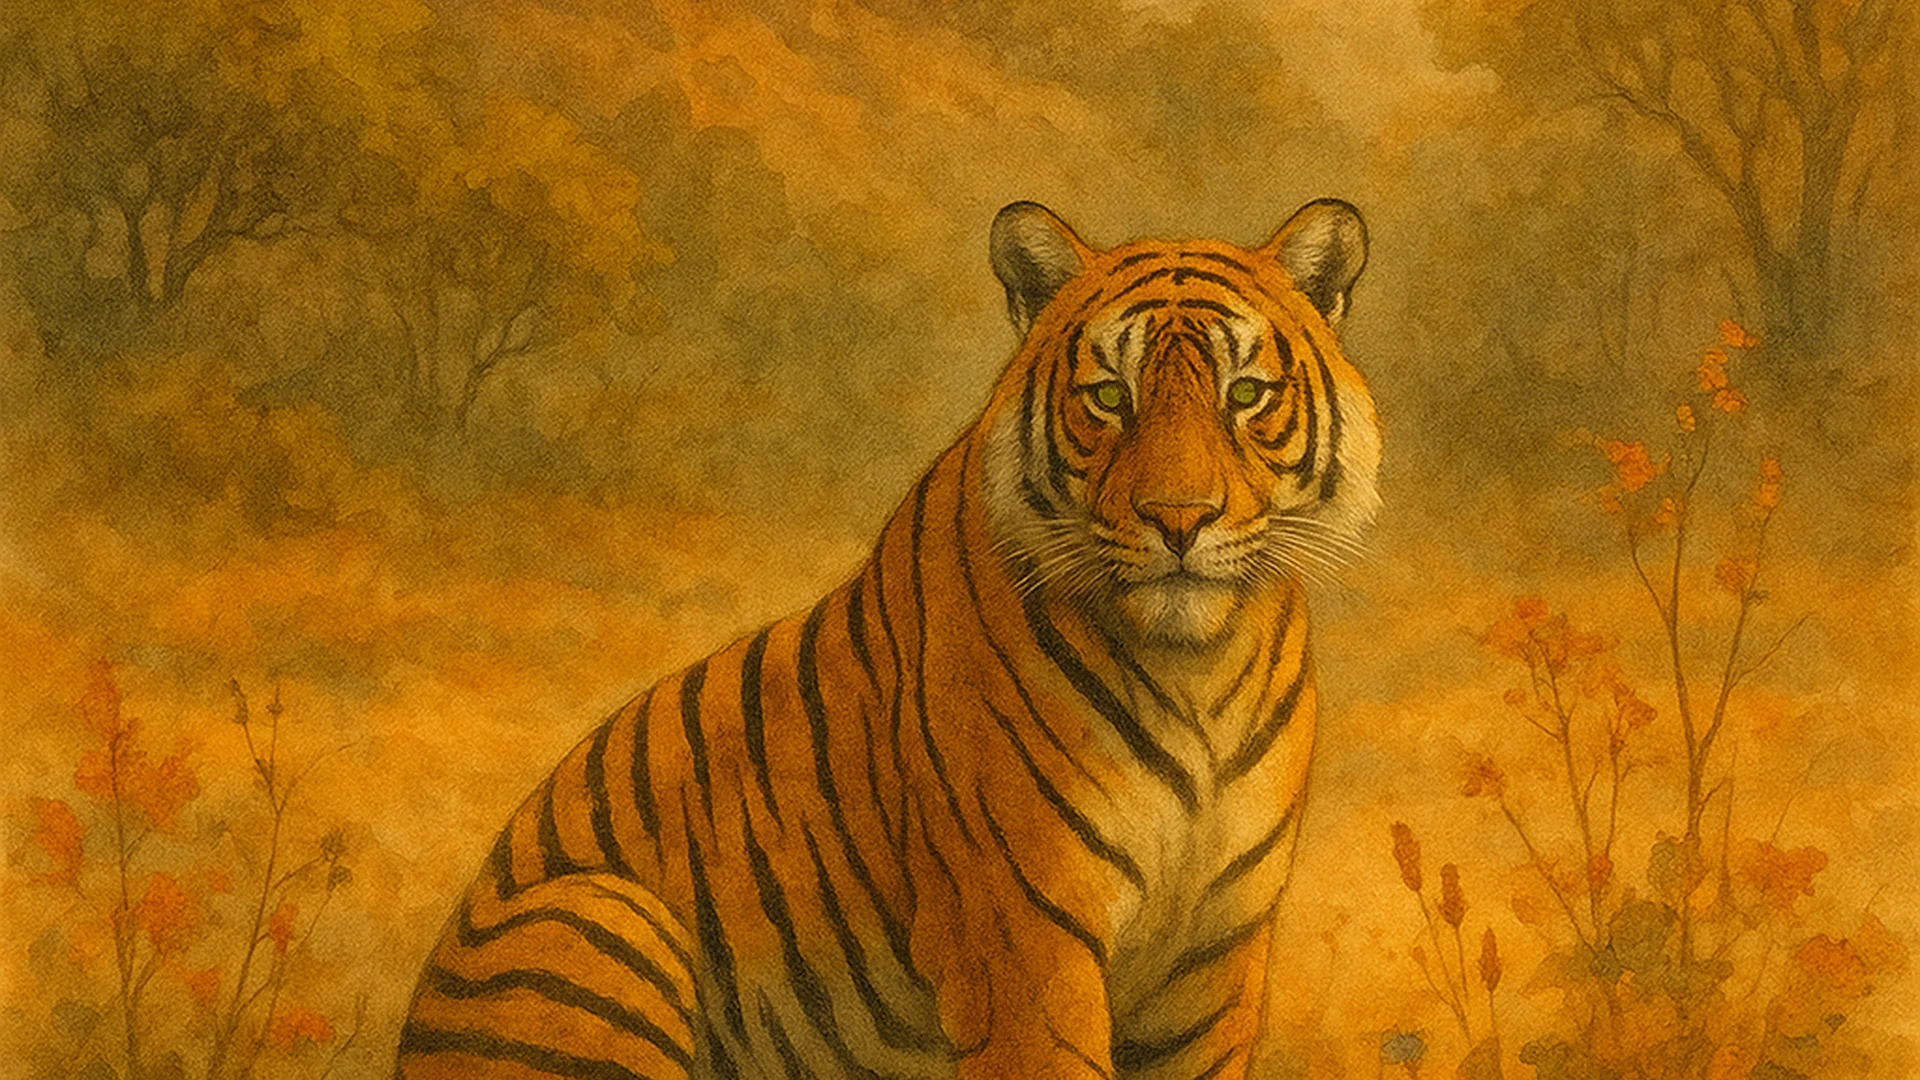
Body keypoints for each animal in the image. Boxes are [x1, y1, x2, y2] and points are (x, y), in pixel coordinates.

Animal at [397, 197, 1381, 1080]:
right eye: (1109, 397)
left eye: (1245, 395)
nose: (1179, 519)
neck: (1196, 667)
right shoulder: (1022, 939)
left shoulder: (1213, 962)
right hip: (600, 911)